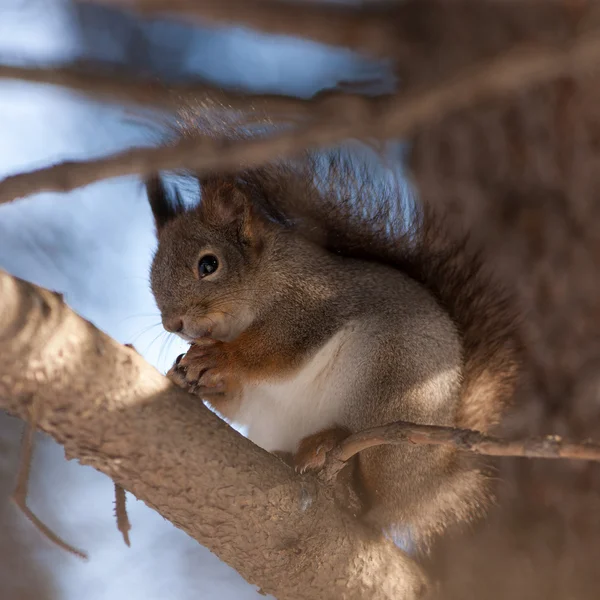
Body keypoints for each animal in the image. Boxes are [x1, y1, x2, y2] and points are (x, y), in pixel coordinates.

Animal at [145, 148, 520, 548]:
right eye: (152, 277)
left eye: (209, 264)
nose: (173, 324)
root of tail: (433, 486)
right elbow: (237, 399)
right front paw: (191, 375)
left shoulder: (312, 305)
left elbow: (276, 349)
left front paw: (220, 357)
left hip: (394, 392)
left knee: (372, 496)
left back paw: (333, 456)